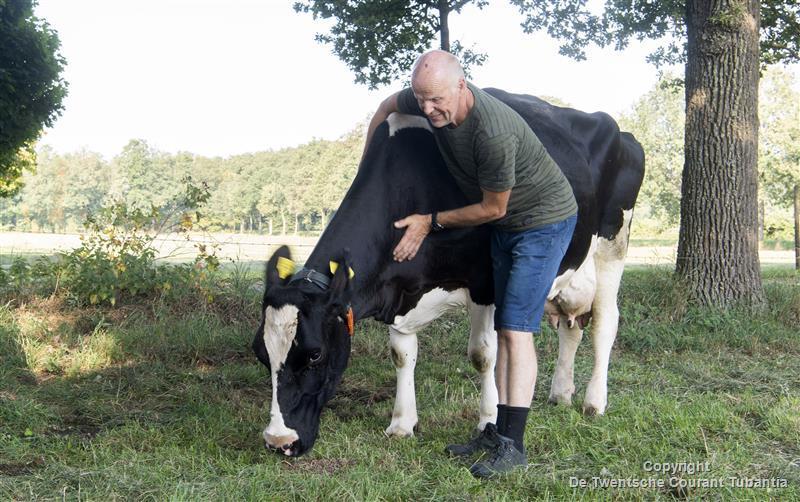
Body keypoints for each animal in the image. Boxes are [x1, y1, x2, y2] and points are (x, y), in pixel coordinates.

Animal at [253, 88, 648, 456]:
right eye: (260, 352)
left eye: (315, 354)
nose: (278, 441)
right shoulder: (402, 292)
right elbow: (401, 353)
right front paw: (402, 424)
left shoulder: (486, 282)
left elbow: (483, 355)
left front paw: (488, 420)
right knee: (571, 325)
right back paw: (561, 394)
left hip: (613, 245)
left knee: (604, 322)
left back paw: (594, 402)